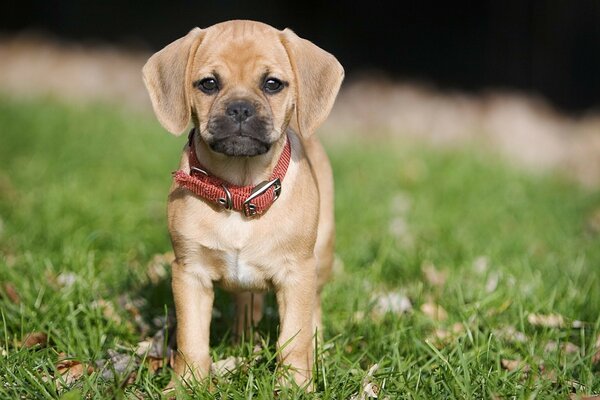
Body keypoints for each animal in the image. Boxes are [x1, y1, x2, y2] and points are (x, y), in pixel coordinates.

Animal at [143, 20, 344, 390]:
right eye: (208, 83)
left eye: (272, 83)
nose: (239, 108)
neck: (240, 188)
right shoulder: (189, 273)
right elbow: (192, 340)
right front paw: (186, 386)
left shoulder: (297, 274)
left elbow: (294, 339)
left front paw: (294, 386)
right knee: (246, 304)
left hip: (321, 255)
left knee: (315, 311)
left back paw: (318, 351)